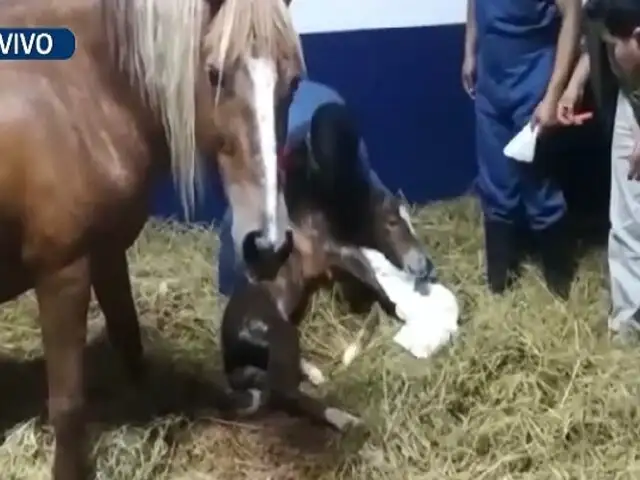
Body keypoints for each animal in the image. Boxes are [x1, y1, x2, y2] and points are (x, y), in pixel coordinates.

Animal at [0, 0, 302, 478]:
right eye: (214, 74)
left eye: (294, 81)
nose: (268, 246)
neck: (81, 95)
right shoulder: (63, 273)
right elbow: (67, 403)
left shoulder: (106, 255)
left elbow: (130, 341)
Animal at [220, 109, 430, 432]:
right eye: (392, 222)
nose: (424, 265)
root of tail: (233, 338)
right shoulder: (339, 253)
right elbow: (370, 276)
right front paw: (400, 311)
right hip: (281, 336)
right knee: (285, 392)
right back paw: (345, 419)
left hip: (253, 365)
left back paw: (316, 375)